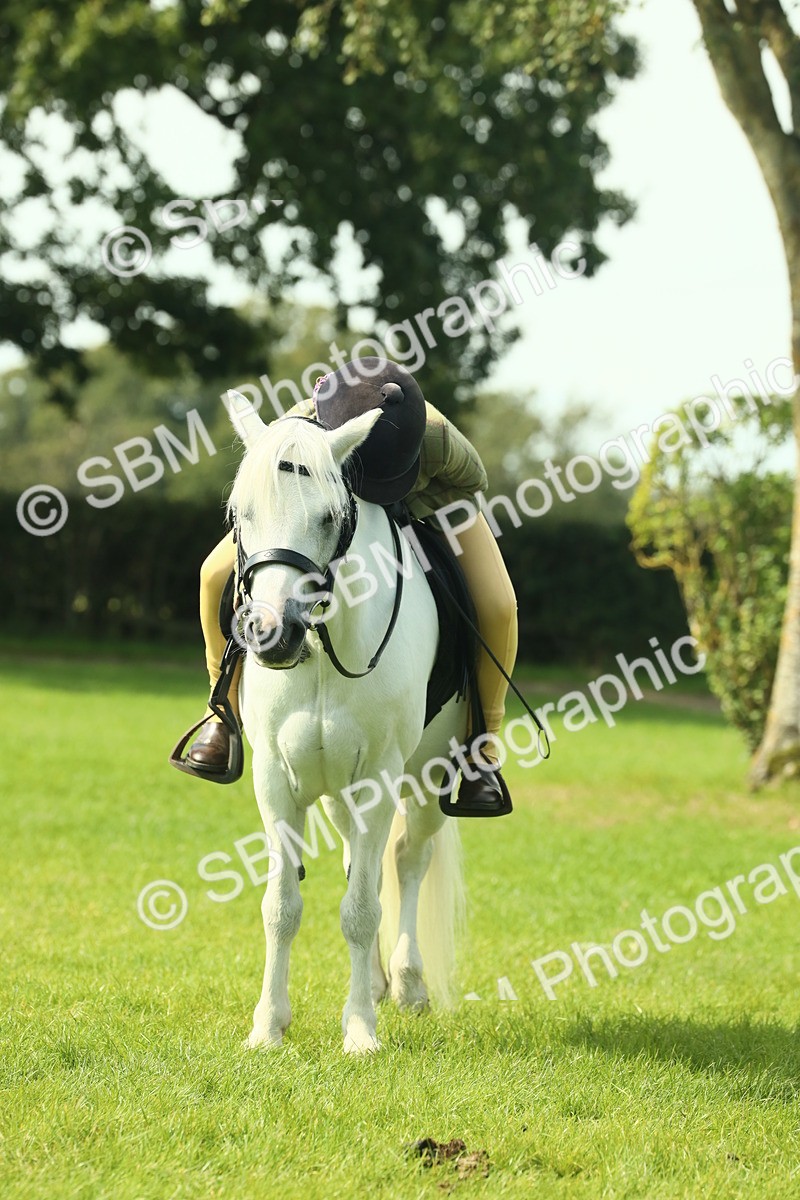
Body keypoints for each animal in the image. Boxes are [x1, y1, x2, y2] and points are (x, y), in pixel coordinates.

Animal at [225, 392, 468, 1054]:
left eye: (330, 517)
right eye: (239, 515)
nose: (270, 633)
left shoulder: (380, 780)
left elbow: (361, 912)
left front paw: (359, 1030)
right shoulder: (276, 781)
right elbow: (281, 906)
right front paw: (268, 1026)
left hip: (429, 781)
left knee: (408, 860)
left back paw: (406, 984)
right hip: (336, 792)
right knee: (367, 865)